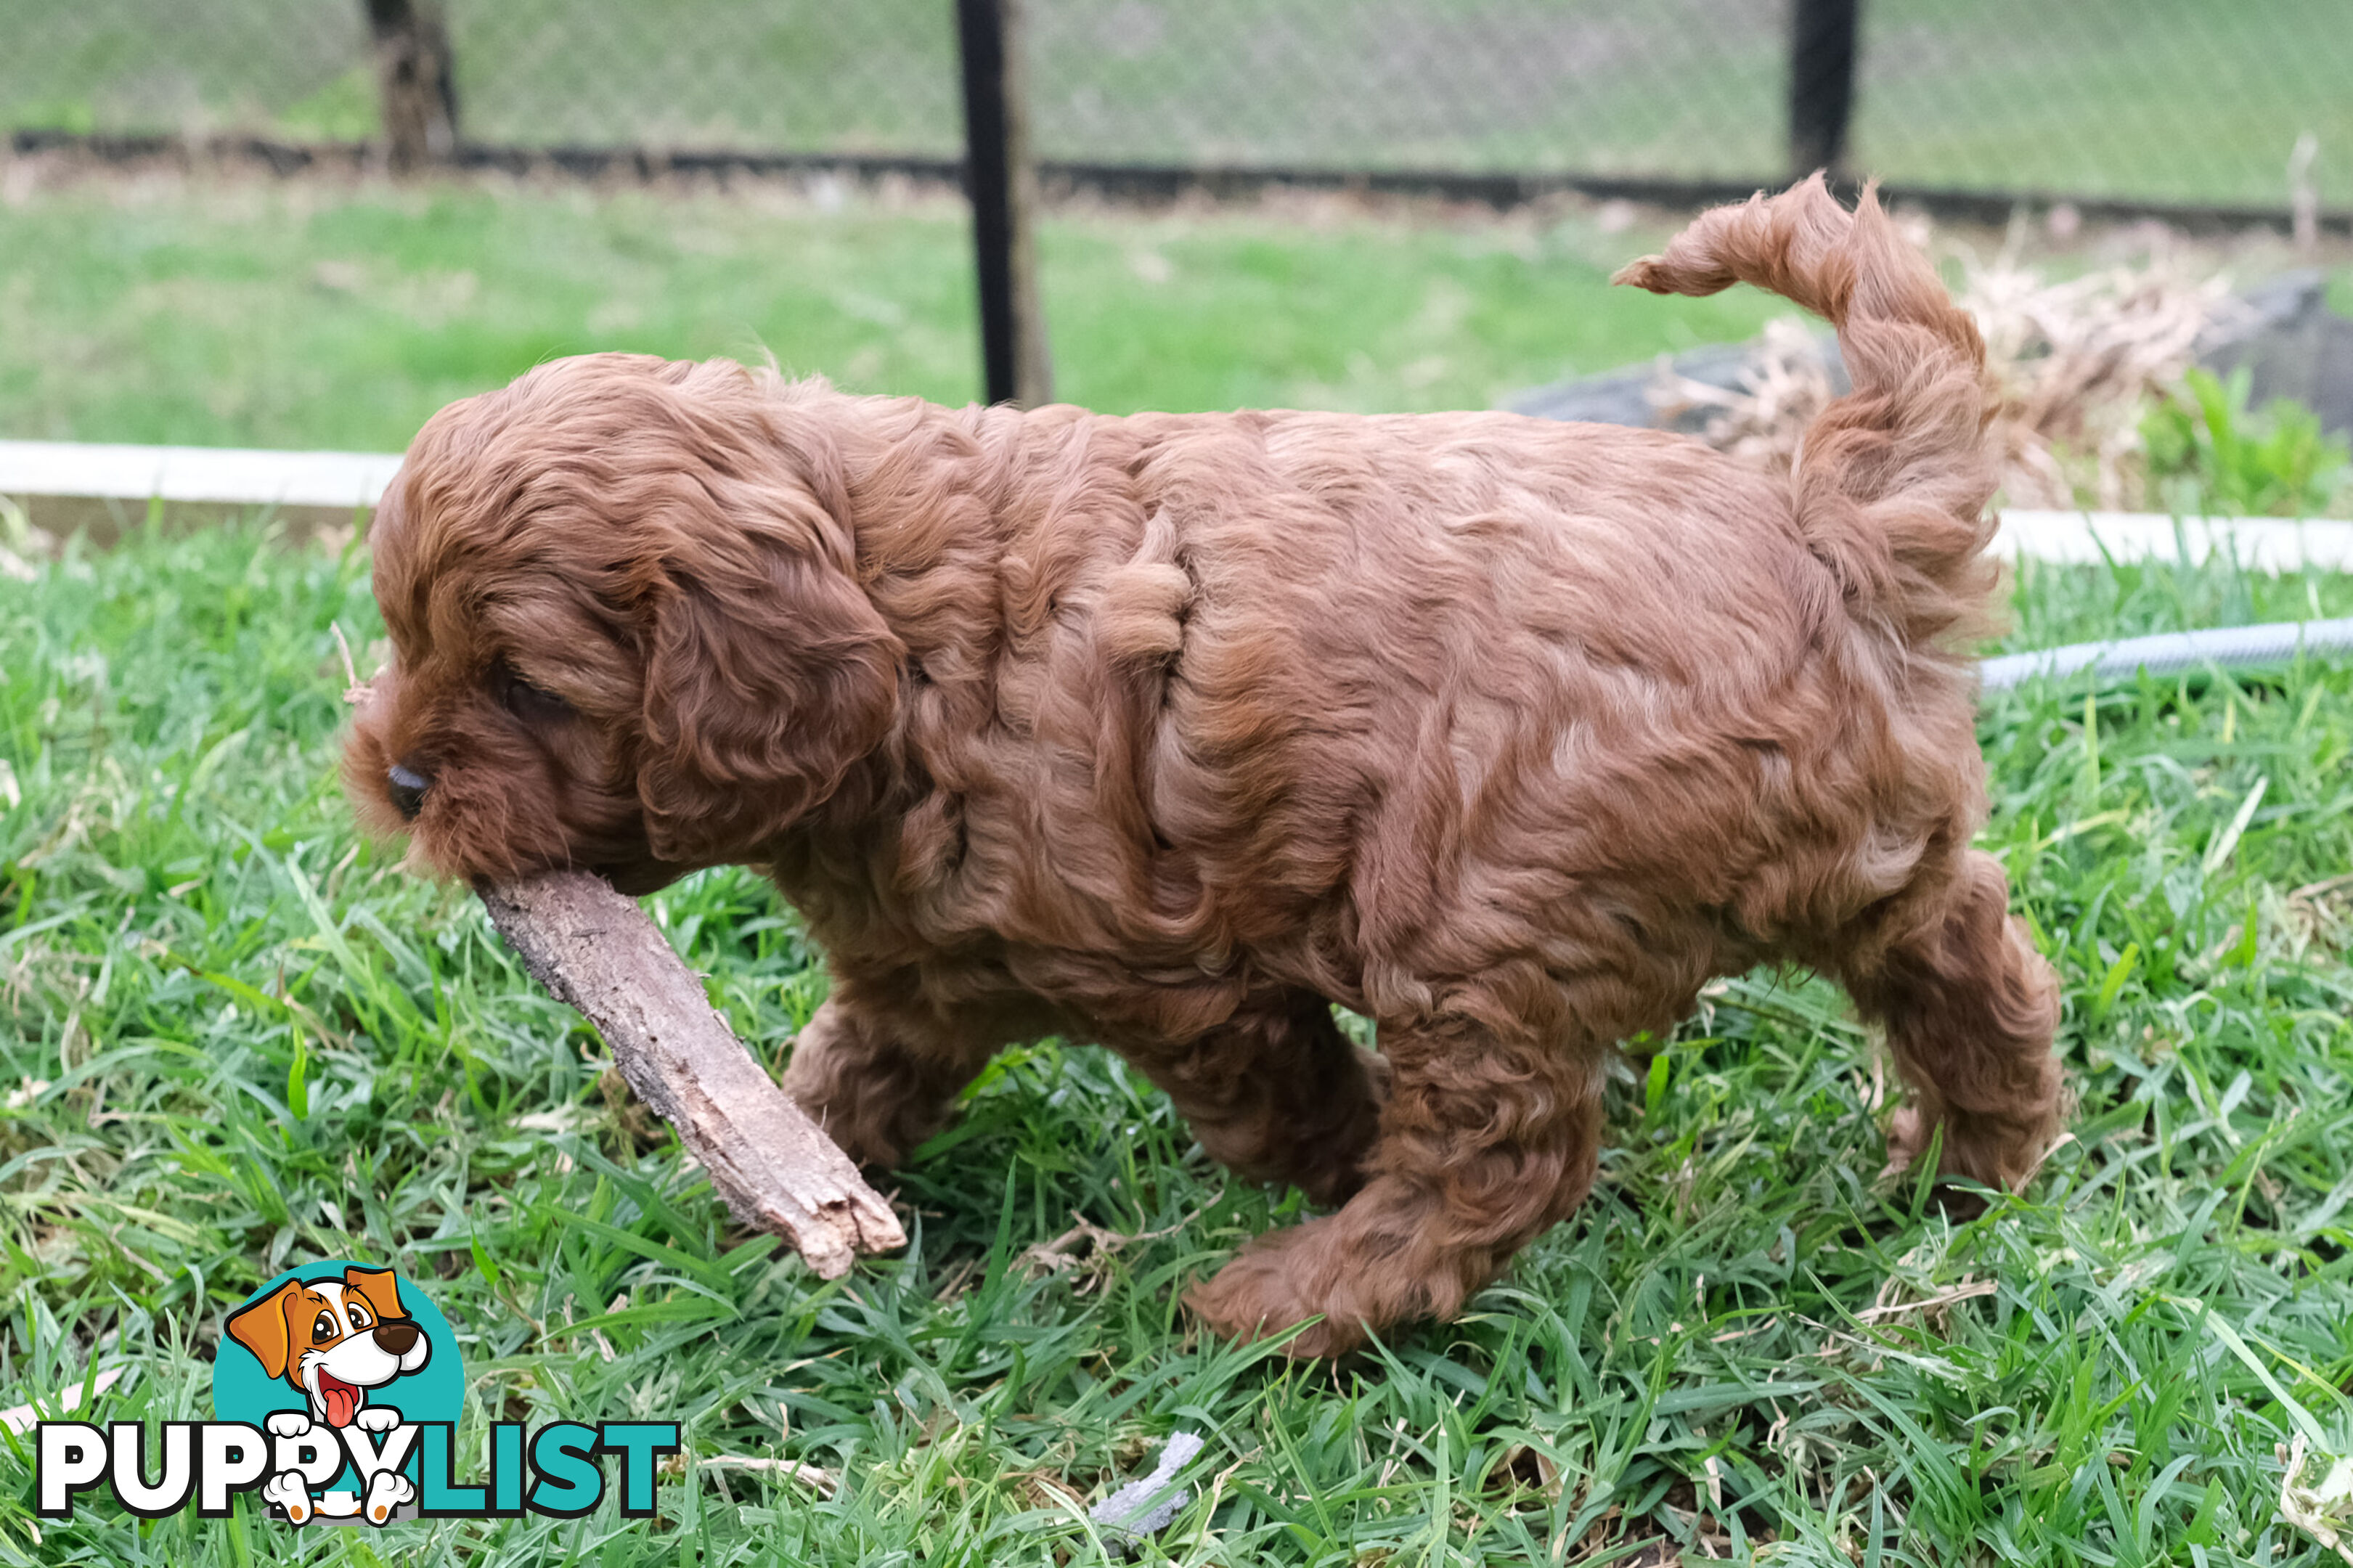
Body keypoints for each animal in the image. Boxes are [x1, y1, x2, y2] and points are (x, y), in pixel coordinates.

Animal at [343, 176, 2061, 1356]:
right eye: (400, 633)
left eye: (524, 685)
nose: (399, 783)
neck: (916, 640)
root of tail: (1828, 534)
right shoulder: (919, 970)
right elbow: (843, 1074)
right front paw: (768, 1160)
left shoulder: (1190, 979)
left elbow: (1290, 1104)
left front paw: (1330, 1172)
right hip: (1864, 850)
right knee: (1971, 961)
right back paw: (1969, 1165)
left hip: (1478, 898)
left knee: (1508, 1155)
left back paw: (1292, 1301)